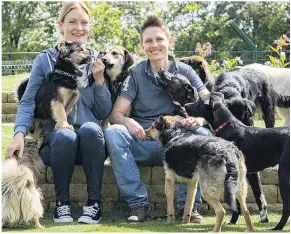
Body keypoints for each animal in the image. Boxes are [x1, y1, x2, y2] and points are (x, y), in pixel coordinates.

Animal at [186, 92, 290, 230]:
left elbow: (235, 201)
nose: (185, 105)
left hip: (283, 174)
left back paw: (277, 227)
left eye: (198, 102)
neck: (226, 126)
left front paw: (233, 220)